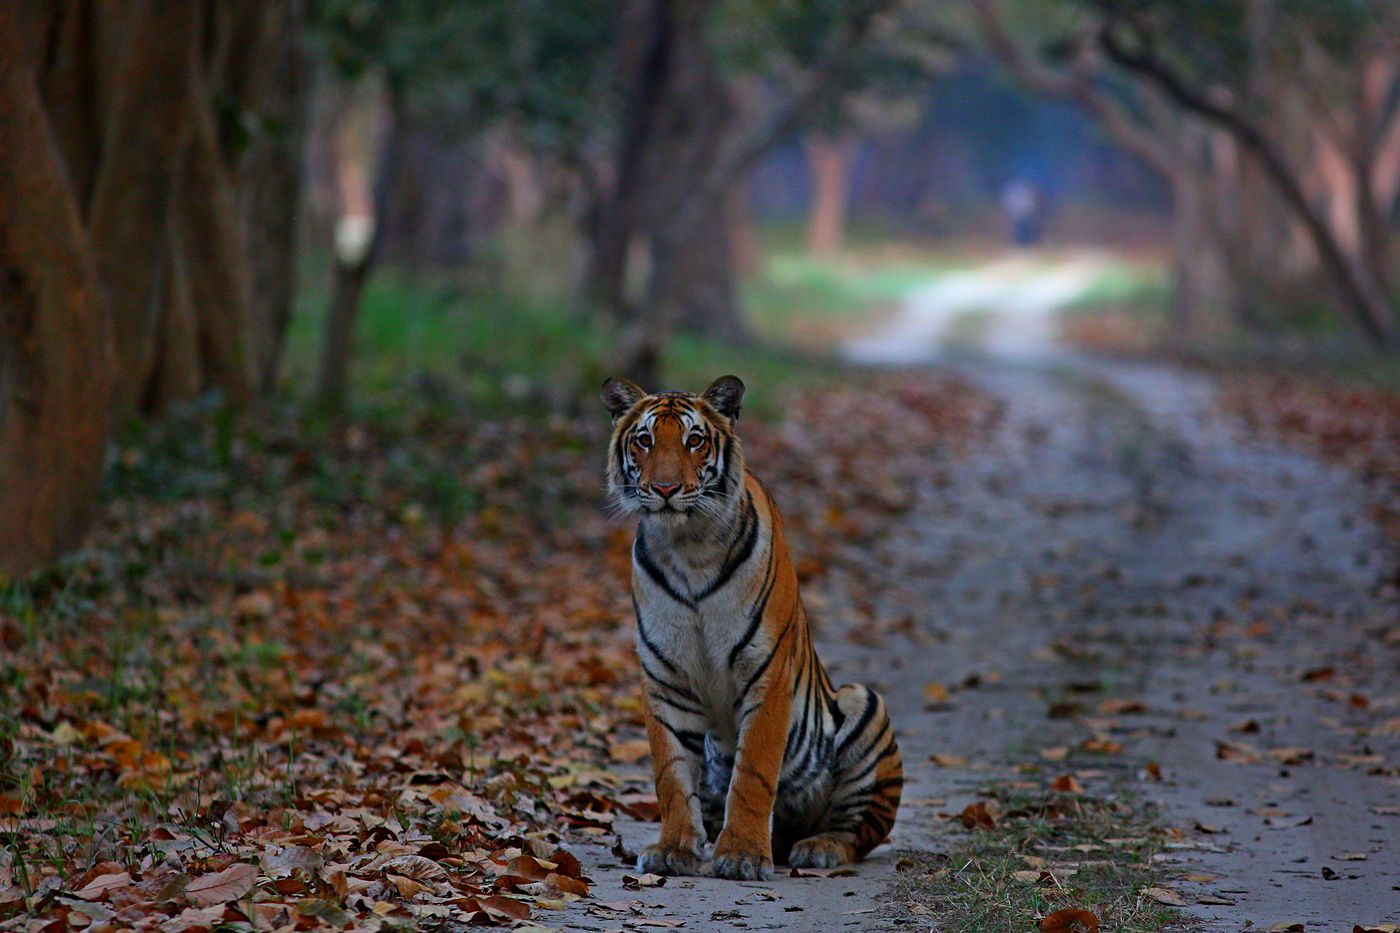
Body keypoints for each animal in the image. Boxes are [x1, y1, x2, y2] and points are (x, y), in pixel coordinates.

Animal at [601, 374, 902, 881]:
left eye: (694, 440)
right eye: (644, 441)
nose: (665, 487)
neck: (688, 547)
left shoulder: (767, 673)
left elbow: (753, 774)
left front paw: (741, 856)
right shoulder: (667, 680)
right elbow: (671, 774)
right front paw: (673, 850)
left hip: (866, 705)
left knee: (859, 832)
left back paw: (817, 848)